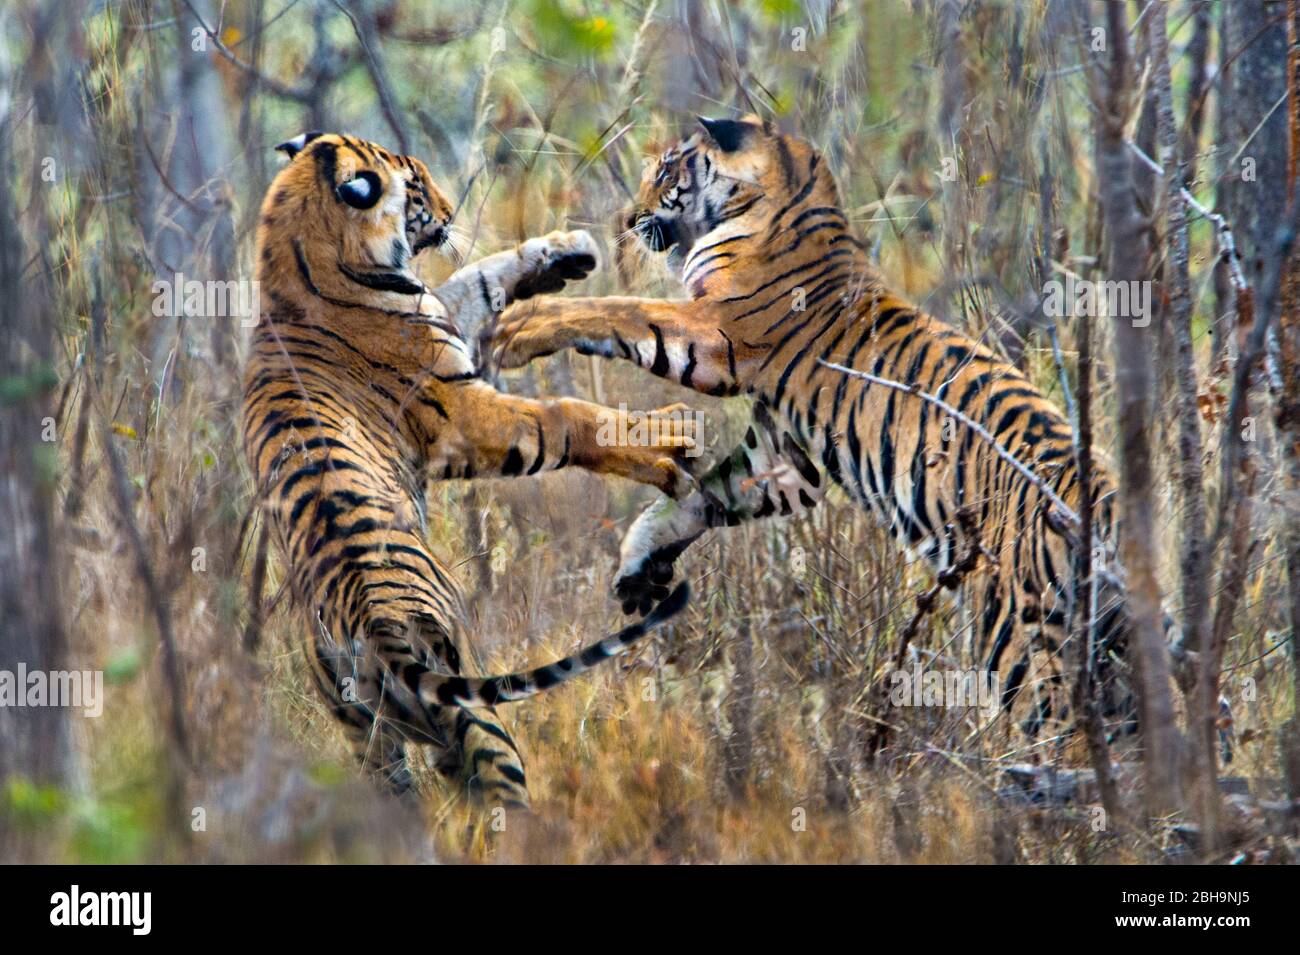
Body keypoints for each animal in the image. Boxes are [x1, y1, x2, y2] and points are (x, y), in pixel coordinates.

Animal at [242, 131, 696, 808]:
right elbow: (565, 417)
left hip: (372, 740)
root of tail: (375, 626)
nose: (450, 209)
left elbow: (475, 278)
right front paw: (668, 439)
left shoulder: (443, 319)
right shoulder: (461, 409)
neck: (297, 251)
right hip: (472, 705)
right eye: (417, 185)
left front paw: (564, 252)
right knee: (501, 791)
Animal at [490, 116, 1139, 741]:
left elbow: (617, 310)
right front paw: (638, 567)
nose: (627, 219)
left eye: (667, 172)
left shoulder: (714, 338)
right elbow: (701, 495)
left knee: (1058, 732)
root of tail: (1105, 505)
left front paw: (518, 329)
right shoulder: (786, 460)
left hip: (1017, 633)